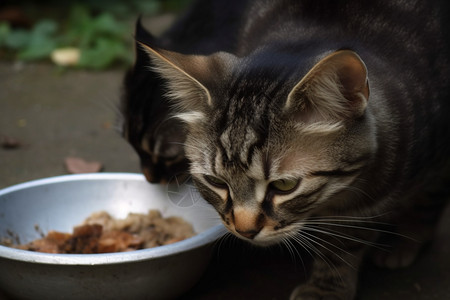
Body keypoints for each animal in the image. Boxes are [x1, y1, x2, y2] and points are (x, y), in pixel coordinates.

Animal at [122, 1, 450, 298]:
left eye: (284, 185)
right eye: (216, 182)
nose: (245, 231)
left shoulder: (366, 205)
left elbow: (343, 243)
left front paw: (326, 289)